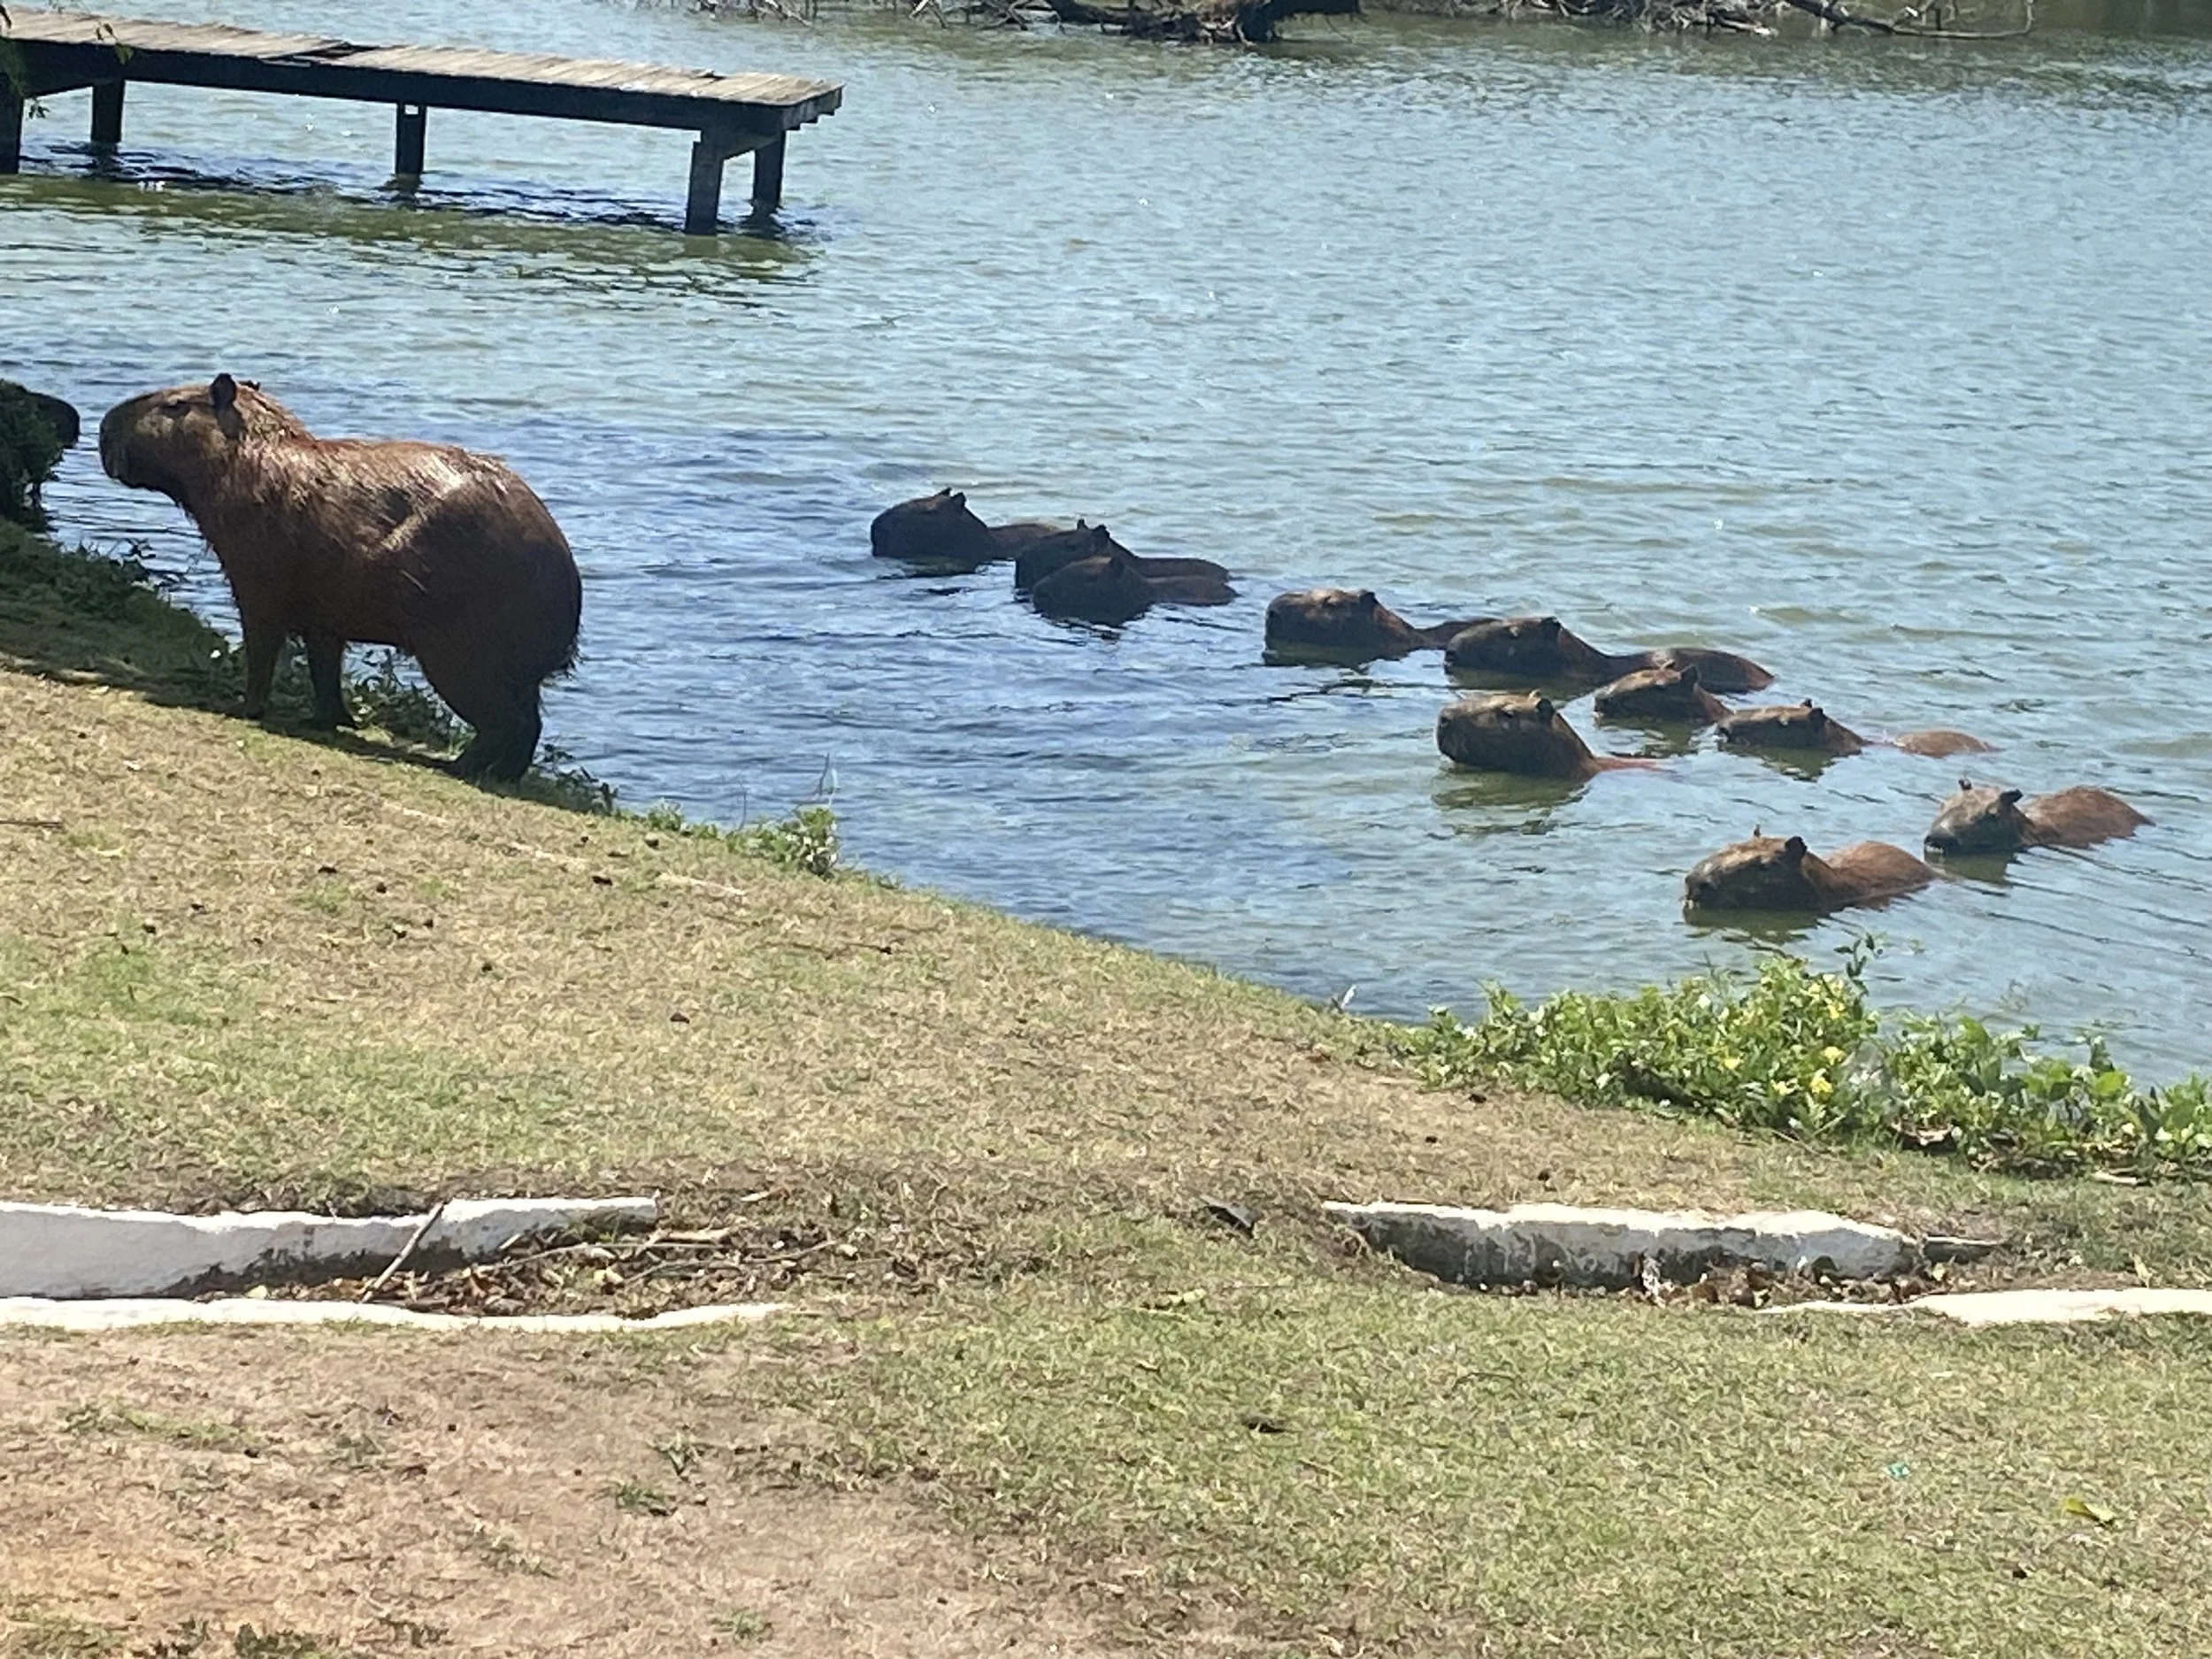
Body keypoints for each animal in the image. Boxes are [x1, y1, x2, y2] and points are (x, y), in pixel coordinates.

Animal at [99, 374, 581, 783]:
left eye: (175, 404)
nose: (103, 428)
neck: (256, 458)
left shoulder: (257, 577)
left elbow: (262, 645)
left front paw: (247, 707)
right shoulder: (324, 614)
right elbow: (324, 664)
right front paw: (326, 719)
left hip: (457, 653)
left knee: (508, 722)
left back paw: (459, 767)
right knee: (529, 722)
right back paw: (502, 773)